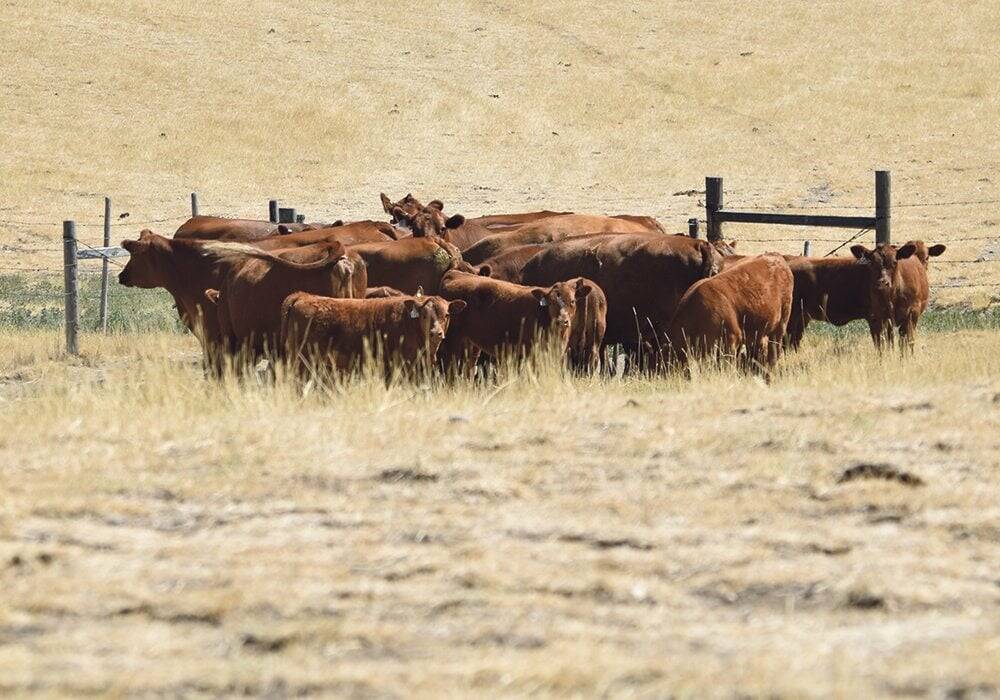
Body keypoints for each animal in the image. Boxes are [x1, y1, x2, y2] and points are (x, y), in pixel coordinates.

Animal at [437, 270, 590, 373]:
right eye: (551, 303)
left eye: (572, 301)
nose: (562, 321)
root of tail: (454, 273)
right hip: (452, 340)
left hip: (471, 344)